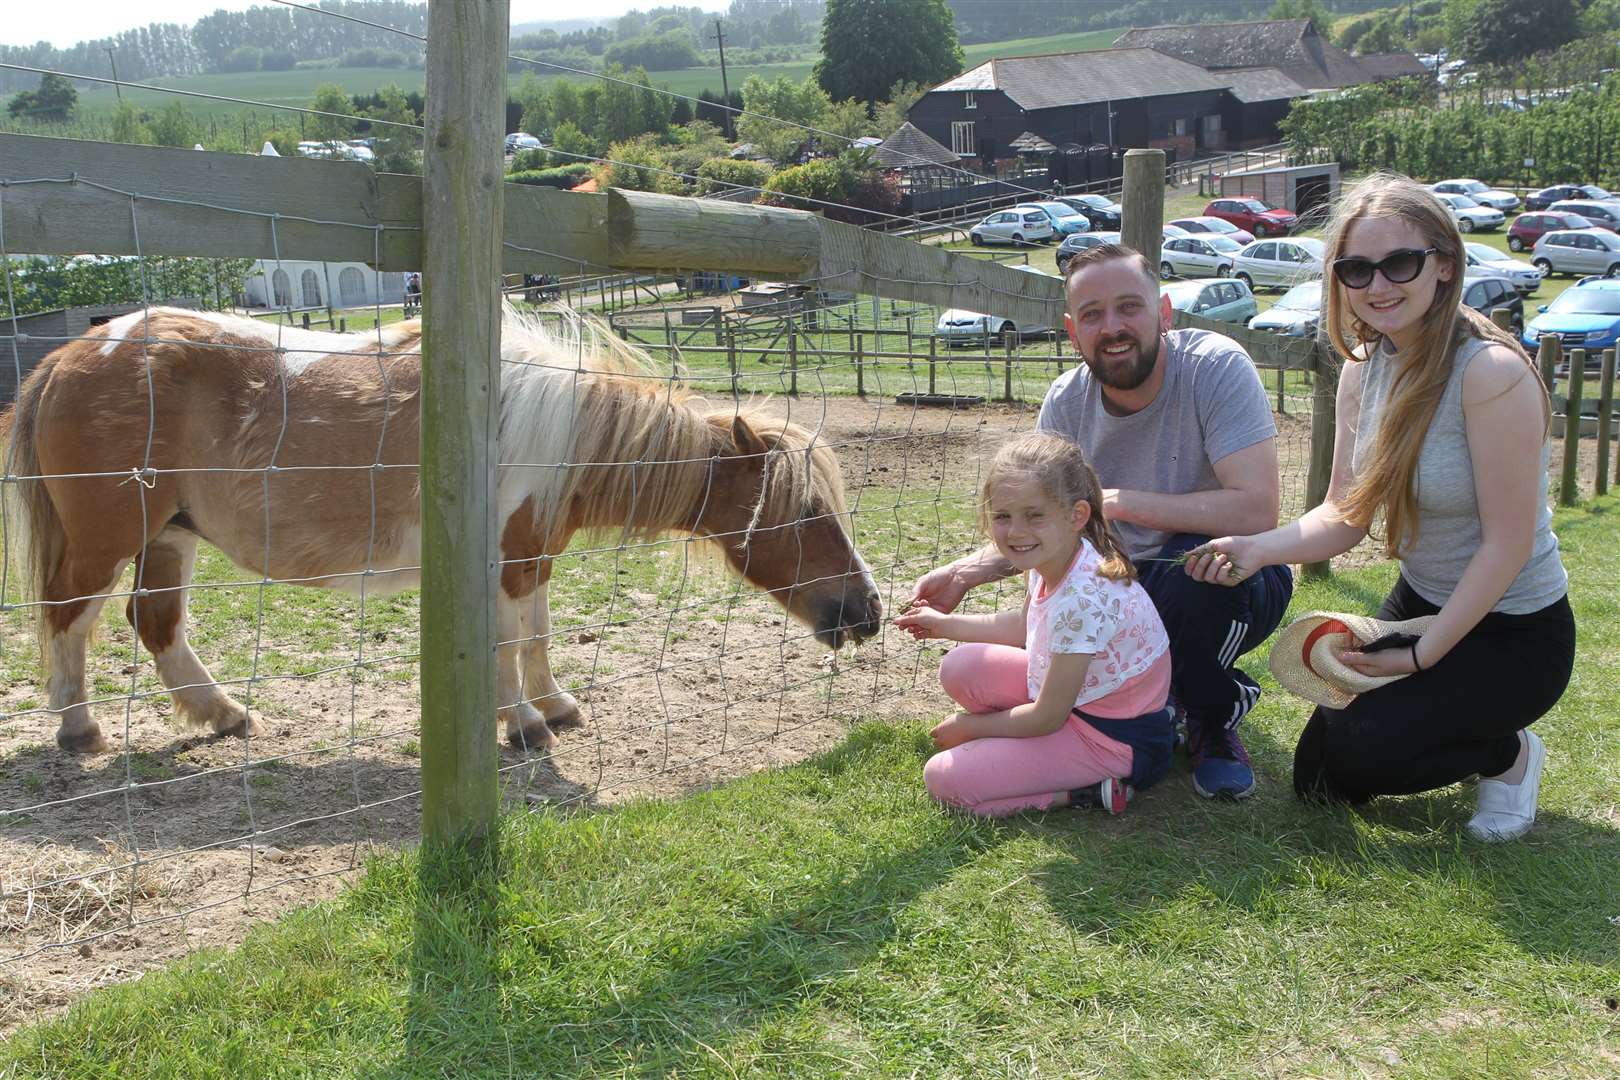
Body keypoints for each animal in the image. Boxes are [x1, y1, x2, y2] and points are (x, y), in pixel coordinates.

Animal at [6, 307, 881, 757]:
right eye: (808, 513)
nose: (868, 611)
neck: (551, 430)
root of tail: (69, 354)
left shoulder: (530, 556)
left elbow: (534, 635)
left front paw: (553, 704)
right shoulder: (501, 559)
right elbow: (506, 642)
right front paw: (523, 723)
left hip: (171, 537)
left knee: (153, 624)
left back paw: (222, 713)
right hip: (108, 542)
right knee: (70, 619)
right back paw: (79, 729)